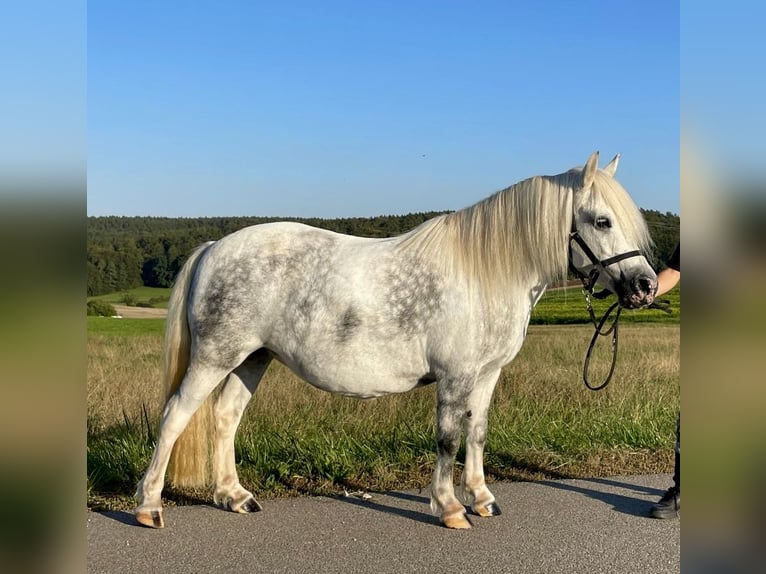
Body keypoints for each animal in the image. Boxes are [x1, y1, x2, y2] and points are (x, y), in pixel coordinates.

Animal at [135, 152, 656, 532]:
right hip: (215, 355)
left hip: (253, 358)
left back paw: (234, 497)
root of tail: (213, 249)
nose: (646, 286)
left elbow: (477, 433)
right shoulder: (456, 377)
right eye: (602, 221)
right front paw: (450, 508)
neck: (487, 271)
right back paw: (149, 506)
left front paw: (482, 499)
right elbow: (448, 439)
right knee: (176, 415)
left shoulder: (487, 375)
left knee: (225, 417)